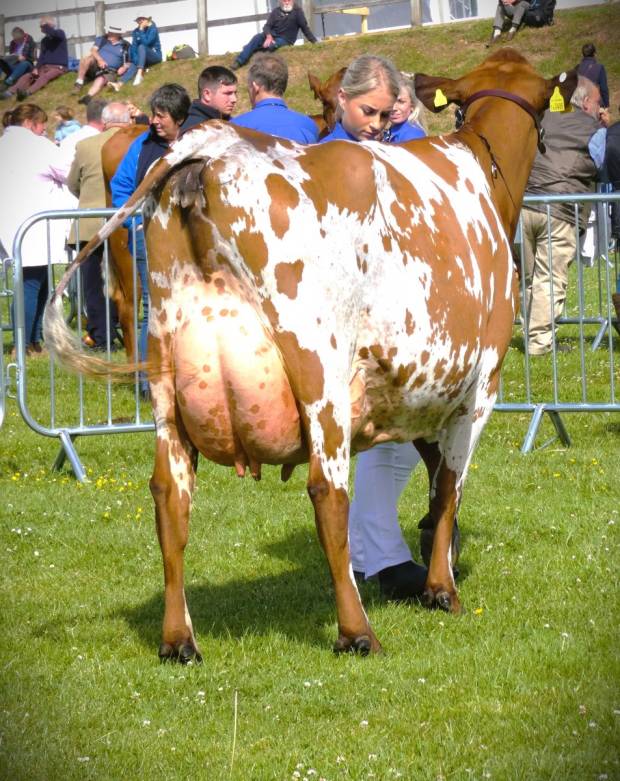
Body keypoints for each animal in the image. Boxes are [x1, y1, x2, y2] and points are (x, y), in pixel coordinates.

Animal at [43, 50, 576, 660]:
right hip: (320, 373)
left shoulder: (413, 387)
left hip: (166, 383)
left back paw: (179, 638)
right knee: (328, 492)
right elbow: (449, 484)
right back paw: (356, 630)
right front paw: (441, 585)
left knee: (170, 496)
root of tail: (211, 144)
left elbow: (431, 473)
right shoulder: (480, 381)